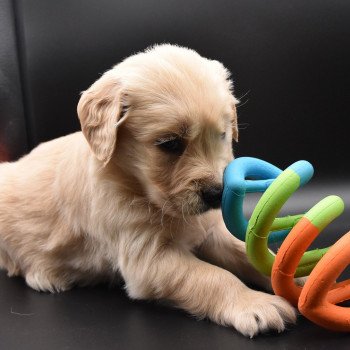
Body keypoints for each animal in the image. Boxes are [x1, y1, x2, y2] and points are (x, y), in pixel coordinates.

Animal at [0, 43, 296, 336]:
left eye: (222, 135)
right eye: (170, 143)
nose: (216, 194)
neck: (138, 189)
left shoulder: (210, 231)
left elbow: (246, 252)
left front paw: (296, 277)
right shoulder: (146, 257)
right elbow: (212, 277)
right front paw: (254, 303)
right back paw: (45, 276)